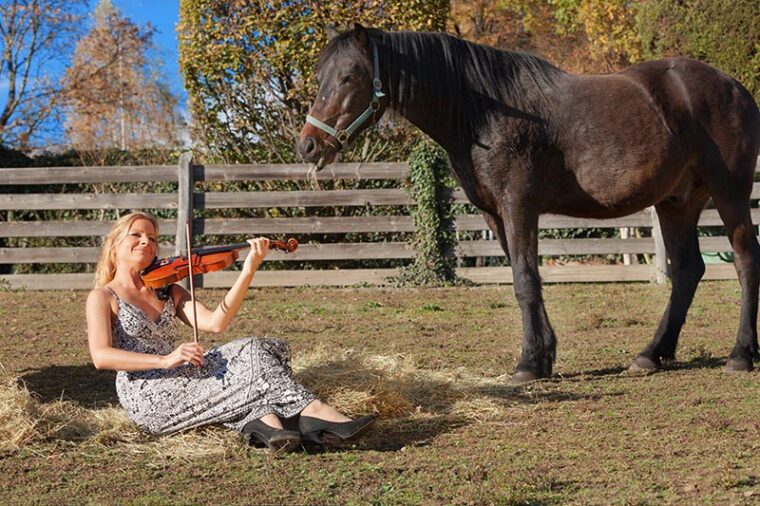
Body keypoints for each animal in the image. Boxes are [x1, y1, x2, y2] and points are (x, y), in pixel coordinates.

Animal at [296, 21, 760, 382]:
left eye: (350, 76)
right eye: (321, 76)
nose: (308, 144)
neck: (484, 111)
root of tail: (735, 87)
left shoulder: (518, 205)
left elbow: (524, 280)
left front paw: (528, 363)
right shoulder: (494, 214)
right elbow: (526, 280)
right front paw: (544, 357)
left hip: (730, 194)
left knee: (744, 261)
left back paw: (740, 355)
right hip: (677, 202)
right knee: (687, 271)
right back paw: (651, 354)